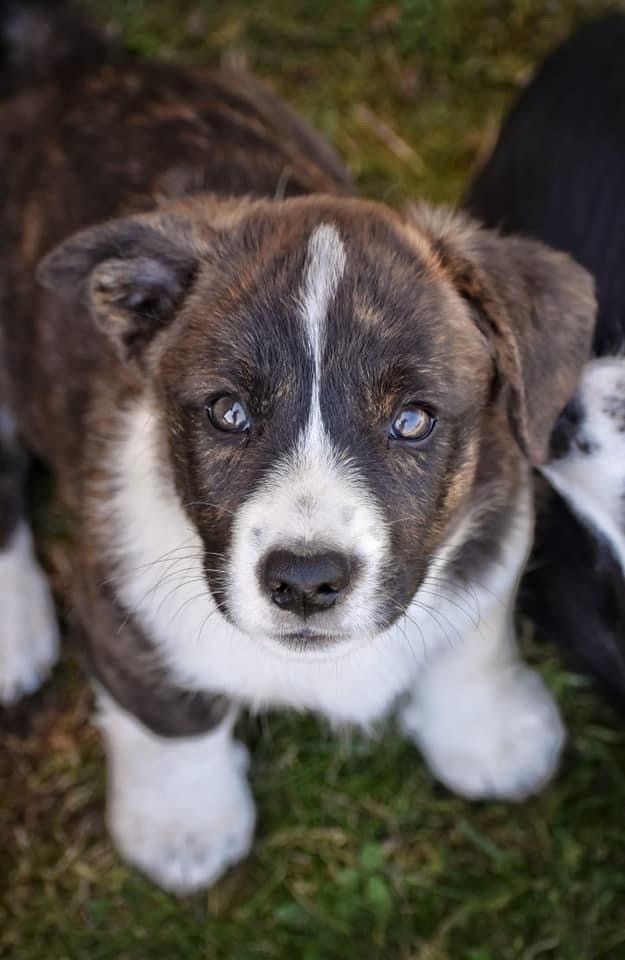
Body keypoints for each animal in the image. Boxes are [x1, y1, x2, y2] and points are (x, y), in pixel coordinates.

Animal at [0, 1, 596, 892]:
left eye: (413, 420)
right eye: (227, 413)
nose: (307, 582)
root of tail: (80, 67)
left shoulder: (495, 519)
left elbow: (472, 632)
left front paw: (490, 733)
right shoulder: (116, 591)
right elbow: (168, 713)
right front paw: (183, 824)